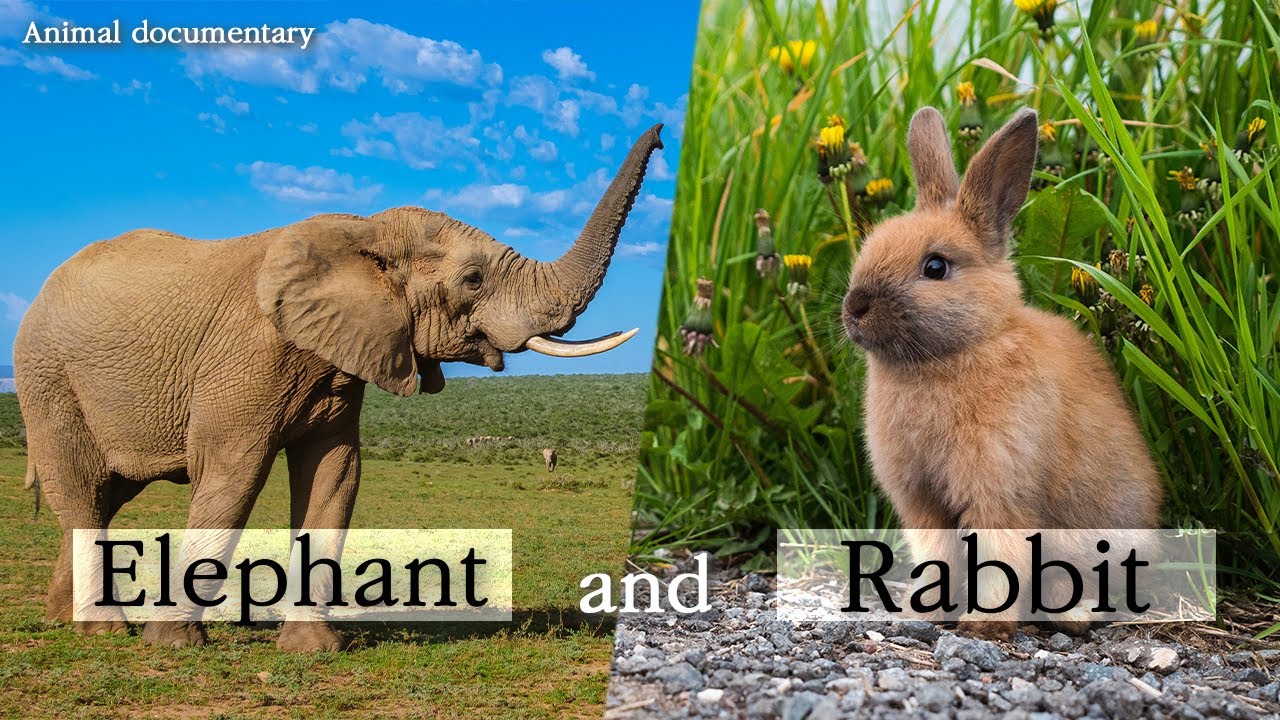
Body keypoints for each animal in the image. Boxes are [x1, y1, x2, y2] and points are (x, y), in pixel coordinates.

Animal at [14, 124, 664, 651]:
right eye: (474, 279)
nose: (661, 135)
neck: (363, 231)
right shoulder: (247, 356)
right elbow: (231, 477)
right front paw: (172, 645)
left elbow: (335, 475)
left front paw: (312, 650)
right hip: (46, 375)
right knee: (80, 487)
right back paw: (103, 631)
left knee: (103, 495)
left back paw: (64, 622)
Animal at [841, 107, 1163, 640]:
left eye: (935, 266)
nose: (854, 308)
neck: (955, 352)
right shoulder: (923, 504)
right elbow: (937, 557)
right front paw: (920, 613)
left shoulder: (1000, 491)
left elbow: (997, 559)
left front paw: (982, 627)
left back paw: (1072, 617)